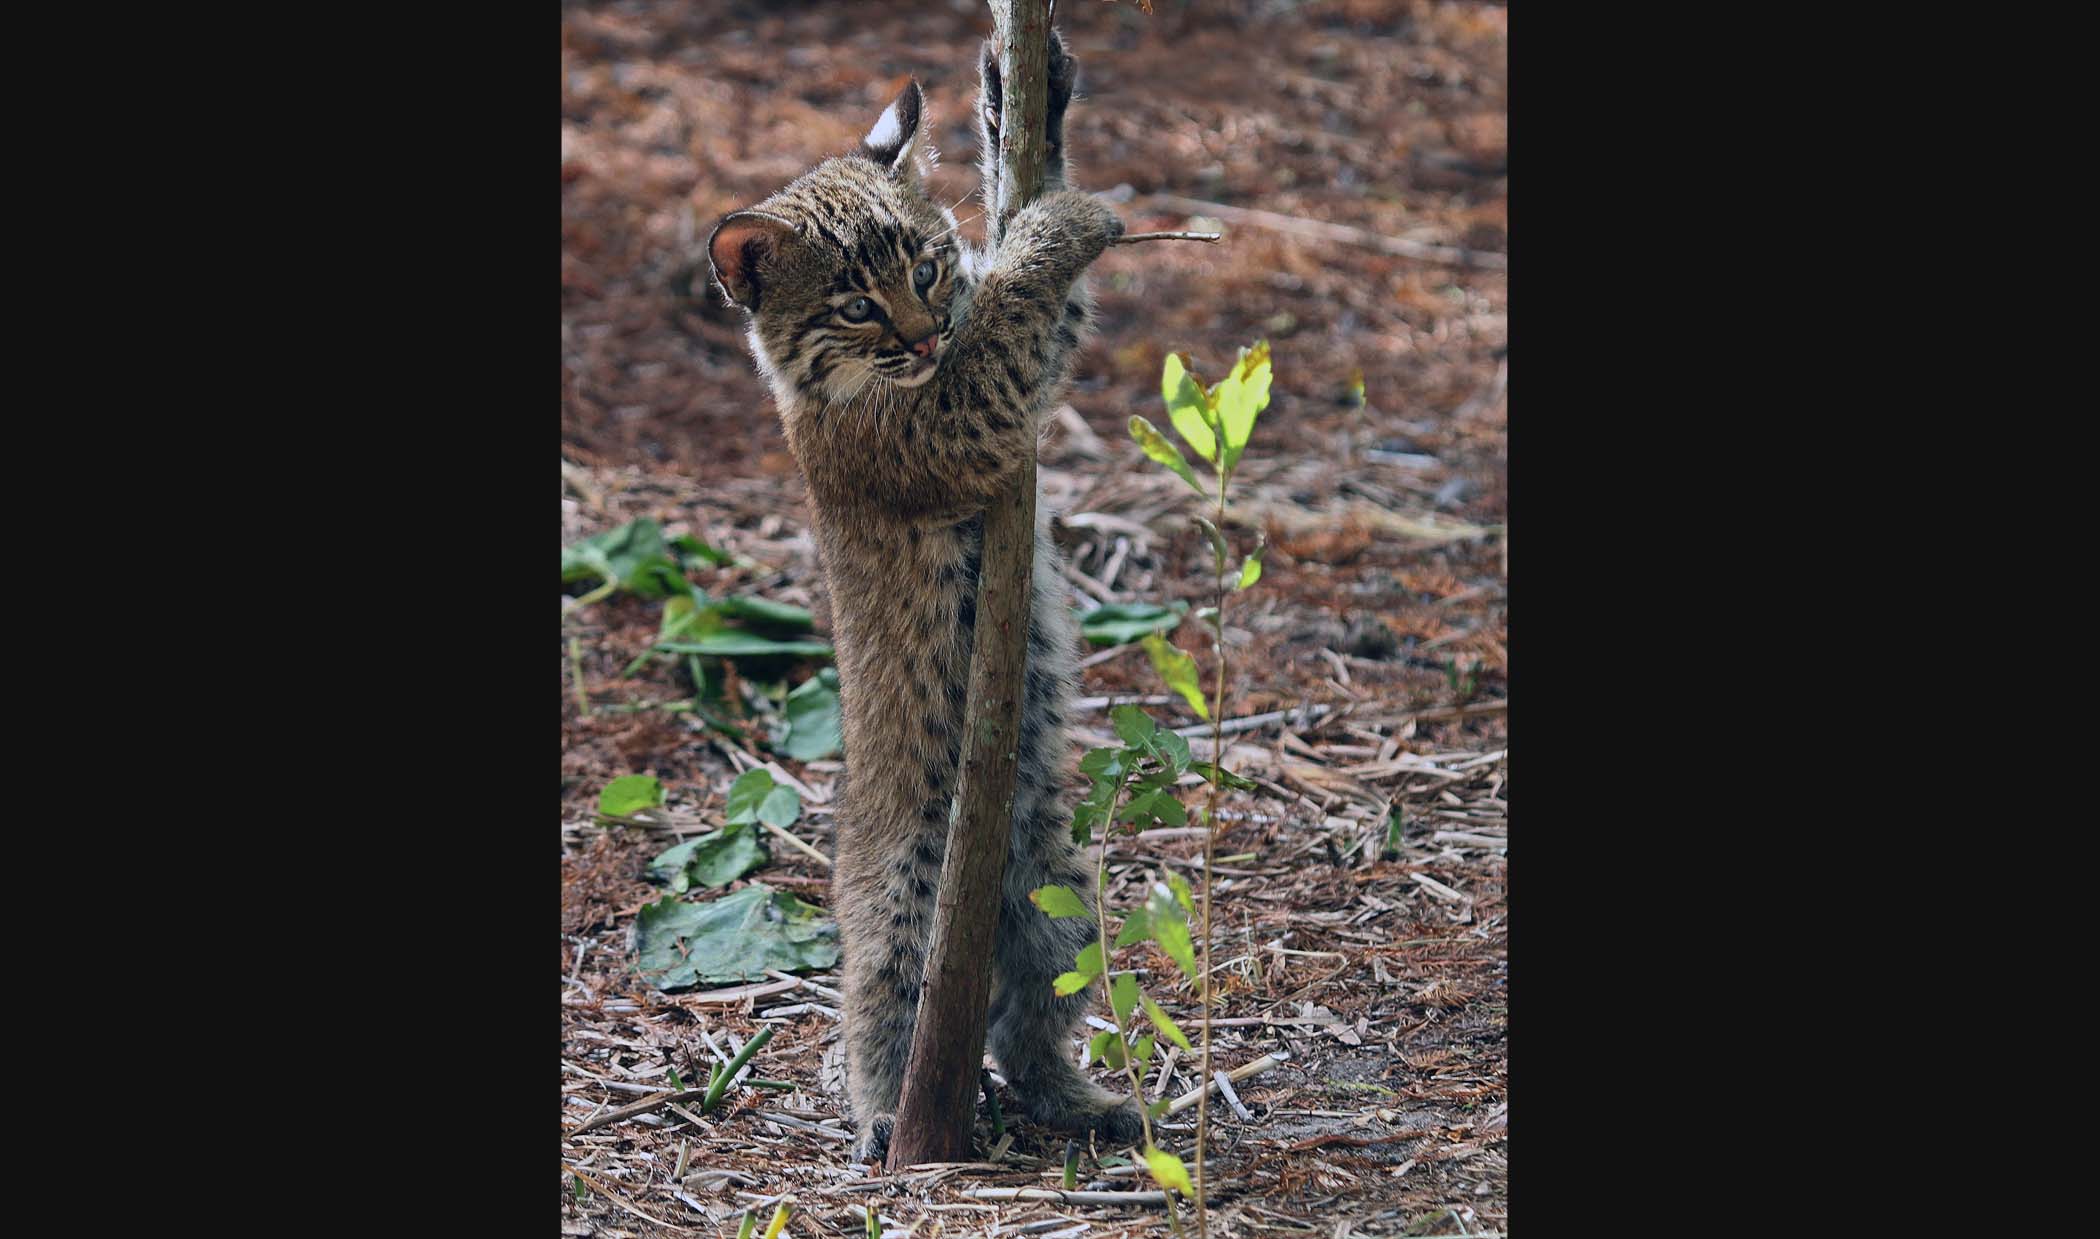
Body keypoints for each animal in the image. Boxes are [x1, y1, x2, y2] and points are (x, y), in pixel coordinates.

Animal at [705, 34, 1143, 1163]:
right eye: (856, 305)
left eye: (926, 266)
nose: (918, 334)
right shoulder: (950, 424)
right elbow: (1009, 324)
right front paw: (1054, 226)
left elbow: (1040, 321)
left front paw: (1025, 110)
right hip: (903, 883)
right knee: (877, 1001)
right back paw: (882, 1122)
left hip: (1059, 892)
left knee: (1027, 1023)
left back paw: (1077, 1102)